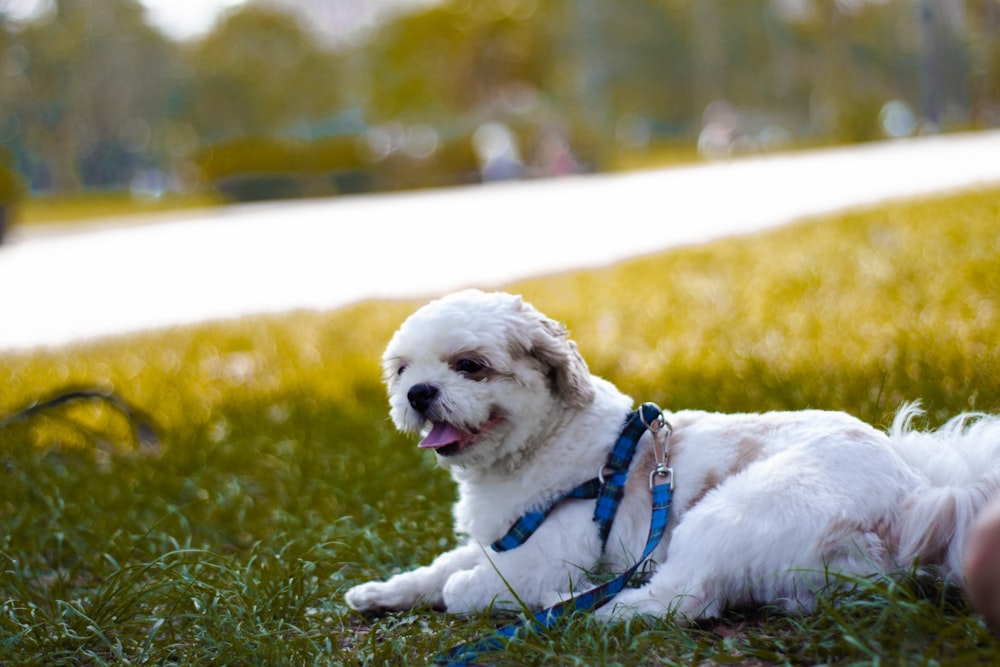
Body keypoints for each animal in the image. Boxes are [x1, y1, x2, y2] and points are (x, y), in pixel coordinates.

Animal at [344, 290, 1000, 624]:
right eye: (401, 370)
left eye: (470, 365)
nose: (418, 393)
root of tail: (915, 495)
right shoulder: (501, 535)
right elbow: (439, 567)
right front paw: (383, 592)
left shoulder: (553, 555)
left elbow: (466, 585)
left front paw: (472, 594)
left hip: (732, 513)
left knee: (685, 599)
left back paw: (579, 610)